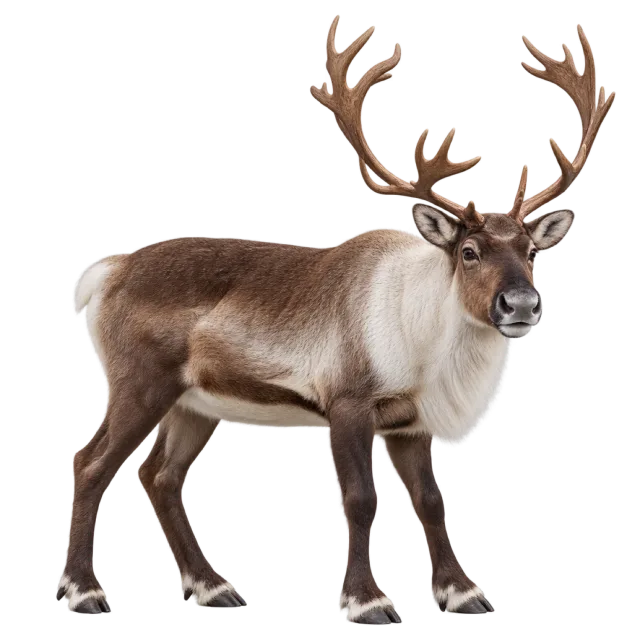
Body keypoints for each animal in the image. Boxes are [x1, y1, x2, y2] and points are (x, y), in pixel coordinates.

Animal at [62, 15, 615, 624]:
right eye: (469, 252)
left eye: (531, 251)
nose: (520, 304)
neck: (426, 341)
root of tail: (106, 272)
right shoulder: (348, 402)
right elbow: (359, 499)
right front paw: (368, 601)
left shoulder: (409, 420)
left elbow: (430, 499)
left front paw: (463, 593)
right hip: (140, 383)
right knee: (91, 465)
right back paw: (84, 592)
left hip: (194, 402)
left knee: (159, 476)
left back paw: (212, 587)